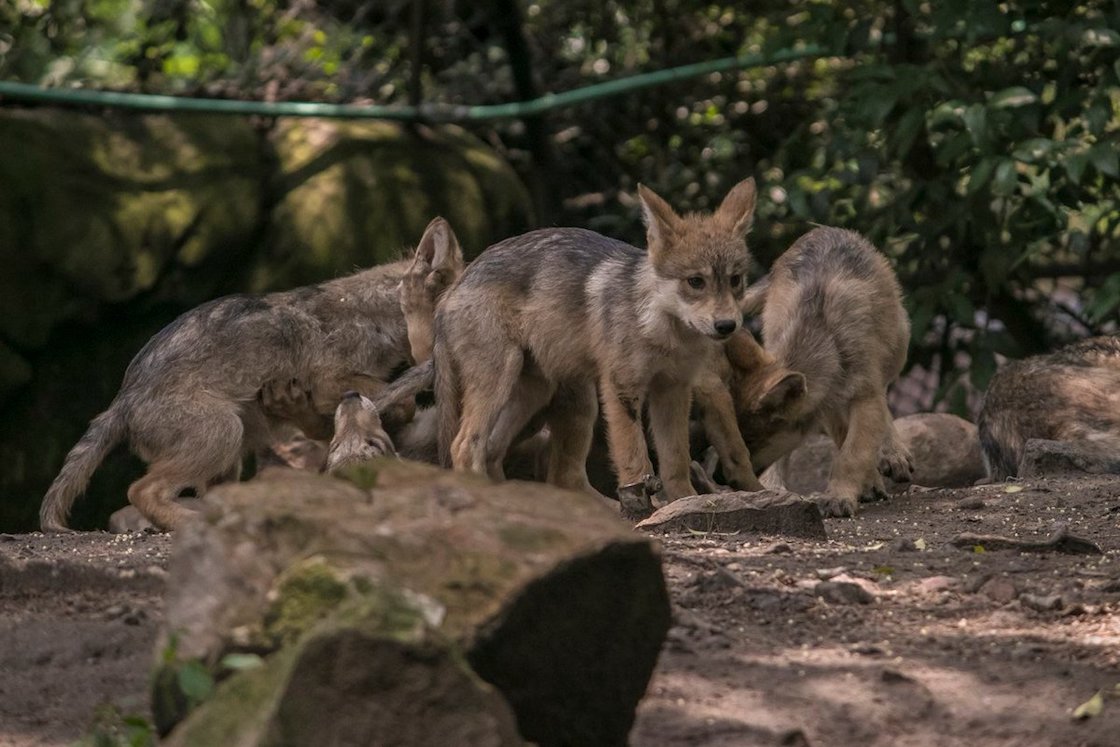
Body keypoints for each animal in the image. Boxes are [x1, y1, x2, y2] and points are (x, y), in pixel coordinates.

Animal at [40, 216, 463, 530]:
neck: (376, 316)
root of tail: (121, 402)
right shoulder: (330, 383)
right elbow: (398, 398)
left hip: (229, 455)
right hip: (225, 432)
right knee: (141, 490)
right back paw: (187, 522)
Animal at [432, 178, 757, 499]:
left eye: (735, 280)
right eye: (696, 282)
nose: (727, 325)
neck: (664, 334)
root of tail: (453, 288)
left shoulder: (673, 390)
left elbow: (675, 462)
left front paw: (684, 501)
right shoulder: (620, 388)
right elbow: (635, 461)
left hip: (539, 392)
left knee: (491, 451)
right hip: (512, 382)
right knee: (465, 447)